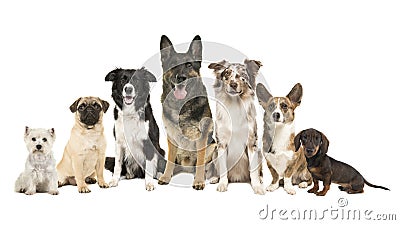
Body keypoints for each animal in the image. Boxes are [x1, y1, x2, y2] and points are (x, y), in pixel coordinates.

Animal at [209, 59, 266, 194]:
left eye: (243, 76)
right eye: (227, 73)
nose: (233, 84)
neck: (235, 103)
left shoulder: (251, 142)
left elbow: (254, 171)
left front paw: (257, 186)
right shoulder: (221, 143)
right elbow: (223, 168)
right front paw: (222, 184)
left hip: (259, 153)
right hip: (214, 152)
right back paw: (214, 178)